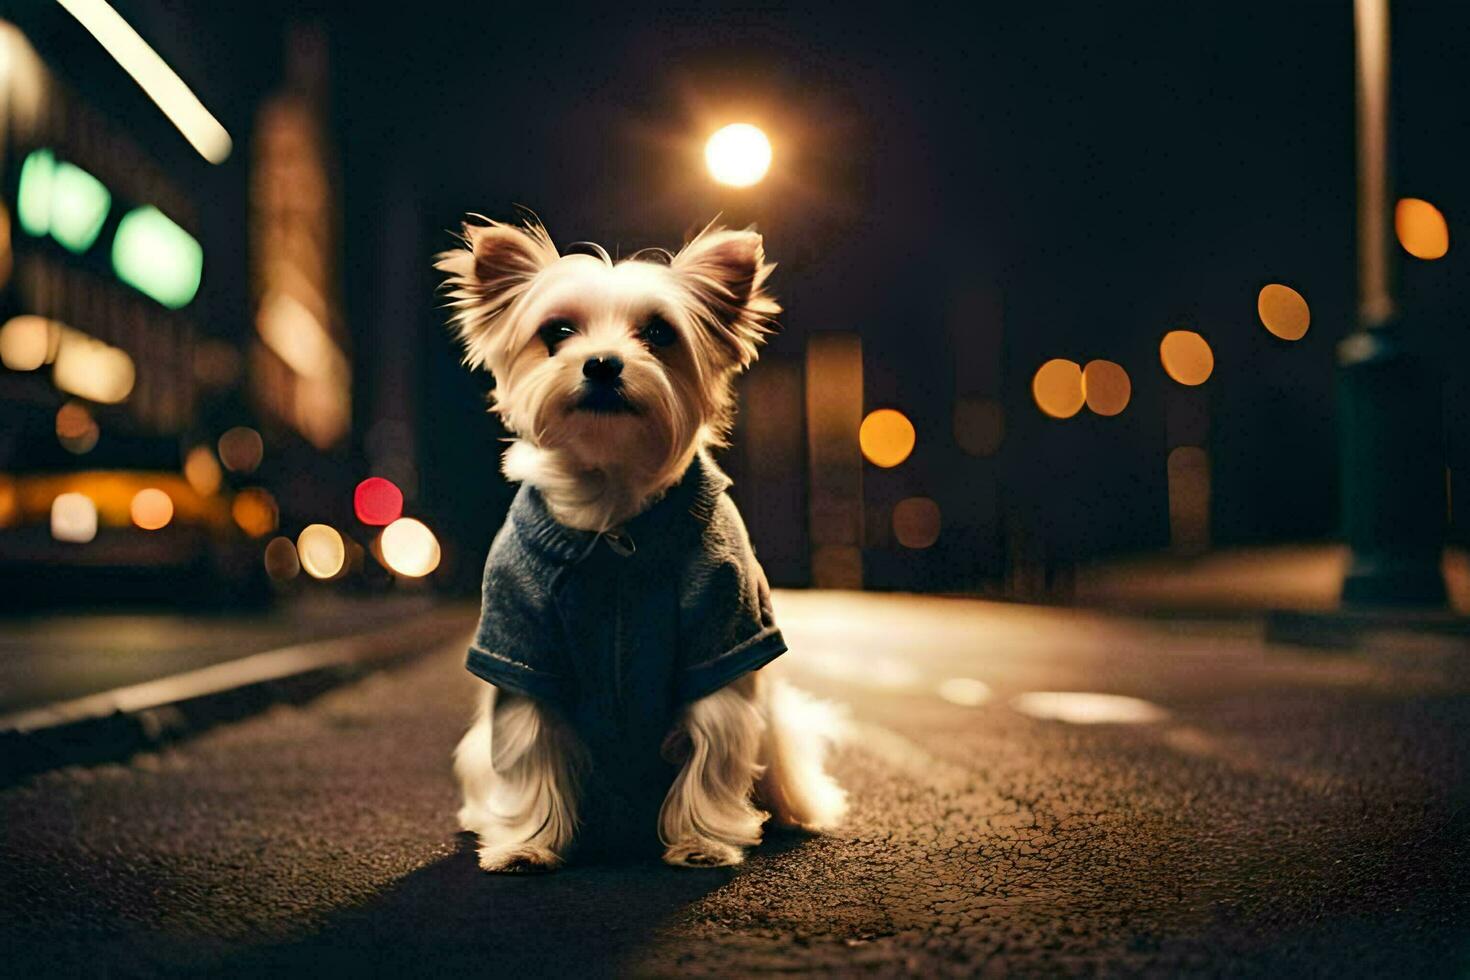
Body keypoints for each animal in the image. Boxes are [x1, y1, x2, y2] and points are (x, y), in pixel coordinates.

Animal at [435, 215, 846, 875]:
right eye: (557, 332)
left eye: (659, 333)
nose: (602, 364)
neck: (612, 513)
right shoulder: (522, 652)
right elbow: (530, 757)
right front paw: (526, 844)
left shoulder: (720, 644)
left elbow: (713, 757)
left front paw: (703, 841)